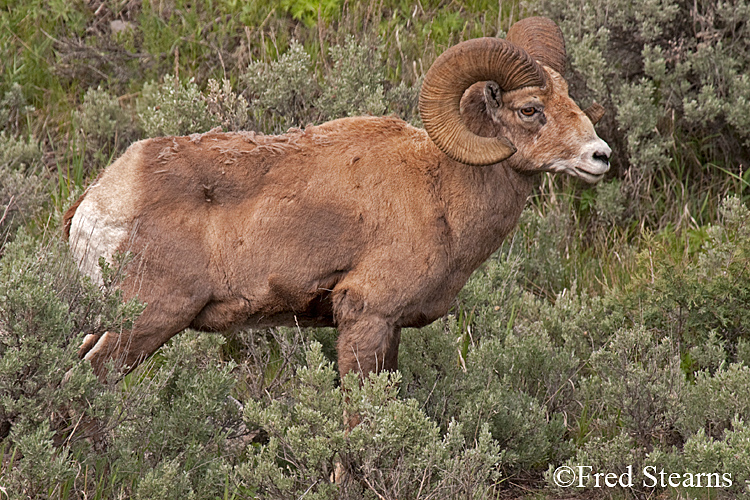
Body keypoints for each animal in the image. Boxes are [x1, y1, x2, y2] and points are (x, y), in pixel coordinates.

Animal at [64, 16, 610, 380]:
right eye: (530, 110)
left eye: (570, 98)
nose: (600, 156)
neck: (440, 192)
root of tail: (96, 202)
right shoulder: (366, 319)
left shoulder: (389, 330)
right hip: (146, 321)